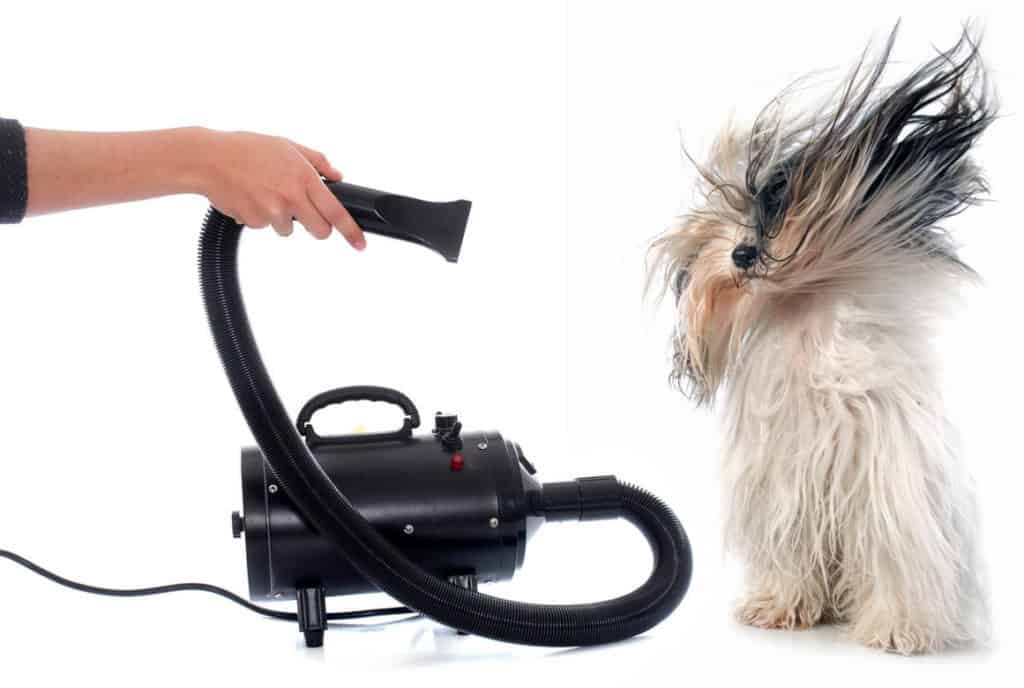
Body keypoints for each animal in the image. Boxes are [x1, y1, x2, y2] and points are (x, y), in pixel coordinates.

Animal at [647, 26, 991, 651]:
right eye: (735, 208)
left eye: (780, 206)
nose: (742, 255)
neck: (799, 315)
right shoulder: (784, 492)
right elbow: (788, 557)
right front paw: (779, 606)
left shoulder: (886, 490)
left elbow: (895, 560)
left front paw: (897, 629)